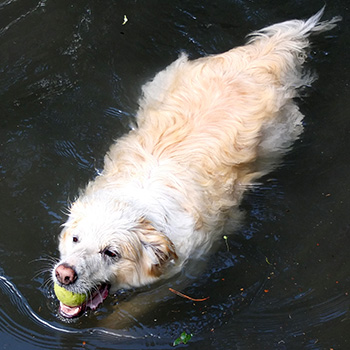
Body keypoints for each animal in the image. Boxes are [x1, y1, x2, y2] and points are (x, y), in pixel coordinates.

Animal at [51, 7, 340, 320]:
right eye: (75, 239)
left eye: (111, 253)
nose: (64, 274)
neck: (140, 208)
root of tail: (261, 58)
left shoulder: (185, 271)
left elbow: (132, 309)